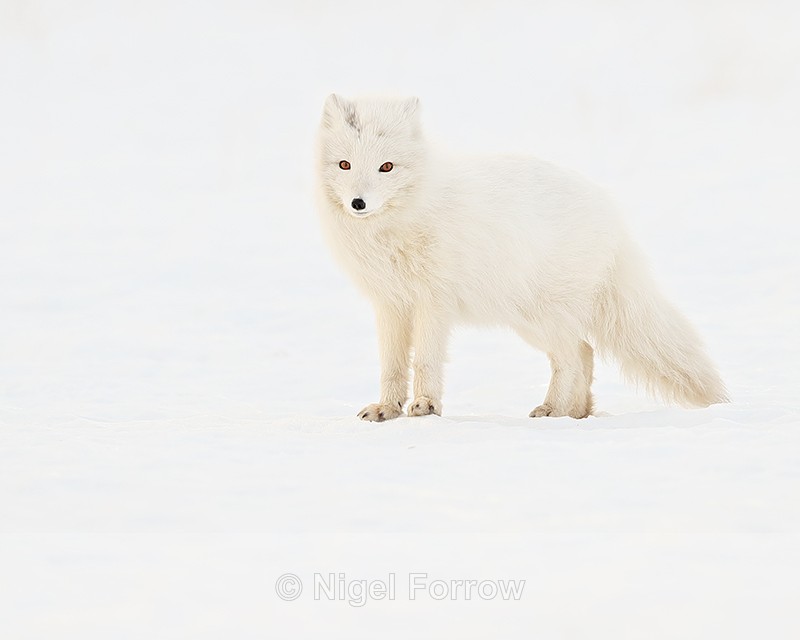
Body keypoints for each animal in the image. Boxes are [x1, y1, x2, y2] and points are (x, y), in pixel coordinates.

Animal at [315, 94, 728, 421]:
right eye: (345, 165)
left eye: (386, 167)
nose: (358, 203)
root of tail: (611, 215)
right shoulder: (390, 304)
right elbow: (392, 365)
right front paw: (386, 409)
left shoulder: (433, 302)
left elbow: (425, 360)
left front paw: (427, 406)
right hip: (529, 321)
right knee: (585, 352)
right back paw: (575, 413)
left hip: (541, 316)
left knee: (572, 357)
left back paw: (553, 409)